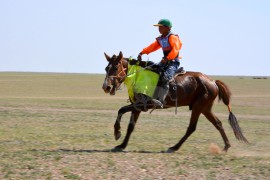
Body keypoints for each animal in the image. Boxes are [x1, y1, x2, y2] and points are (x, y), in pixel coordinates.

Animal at [102, 51, 249, 153]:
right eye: (106, 68)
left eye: (115, 68)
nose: (106, 87)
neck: (138, 76)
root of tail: (213, 81)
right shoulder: (137, 107)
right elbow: (130, 126)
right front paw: (121, 144)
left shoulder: (144, 105)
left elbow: (121, 110)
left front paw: (117, 133)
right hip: (205, 108)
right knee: (218, 123)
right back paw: (226, 146)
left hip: (198, 107)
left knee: (191, 128)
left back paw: (174, 147)